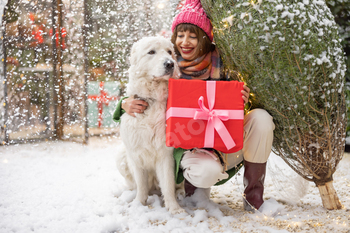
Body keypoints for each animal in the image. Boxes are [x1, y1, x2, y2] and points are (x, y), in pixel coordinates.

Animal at [116, 36, 185, 215]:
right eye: (151, 52)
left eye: (169, 52)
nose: (170, 64)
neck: (152, 101)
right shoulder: (135, 155)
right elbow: (141, 185)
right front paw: (138, 204)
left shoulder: (166, 155)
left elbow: (167, 184)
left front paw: (174, 208)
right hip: (121, 156)